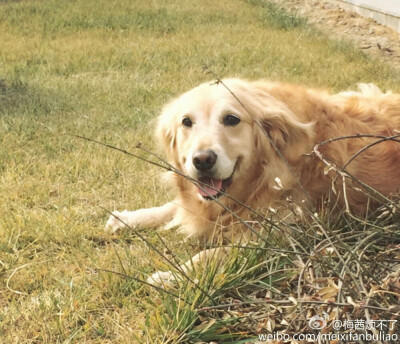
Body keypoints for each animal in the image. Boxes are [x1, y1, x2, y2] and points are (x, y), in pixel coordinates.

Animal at [105, 79, 400, 284]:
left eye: (231, 119)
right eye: (186, 122)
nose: (202, 160)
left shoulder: (275, 236)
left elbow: (211, 254)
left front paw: (173, 275)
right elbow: (172, 207)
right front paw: (128, 218)